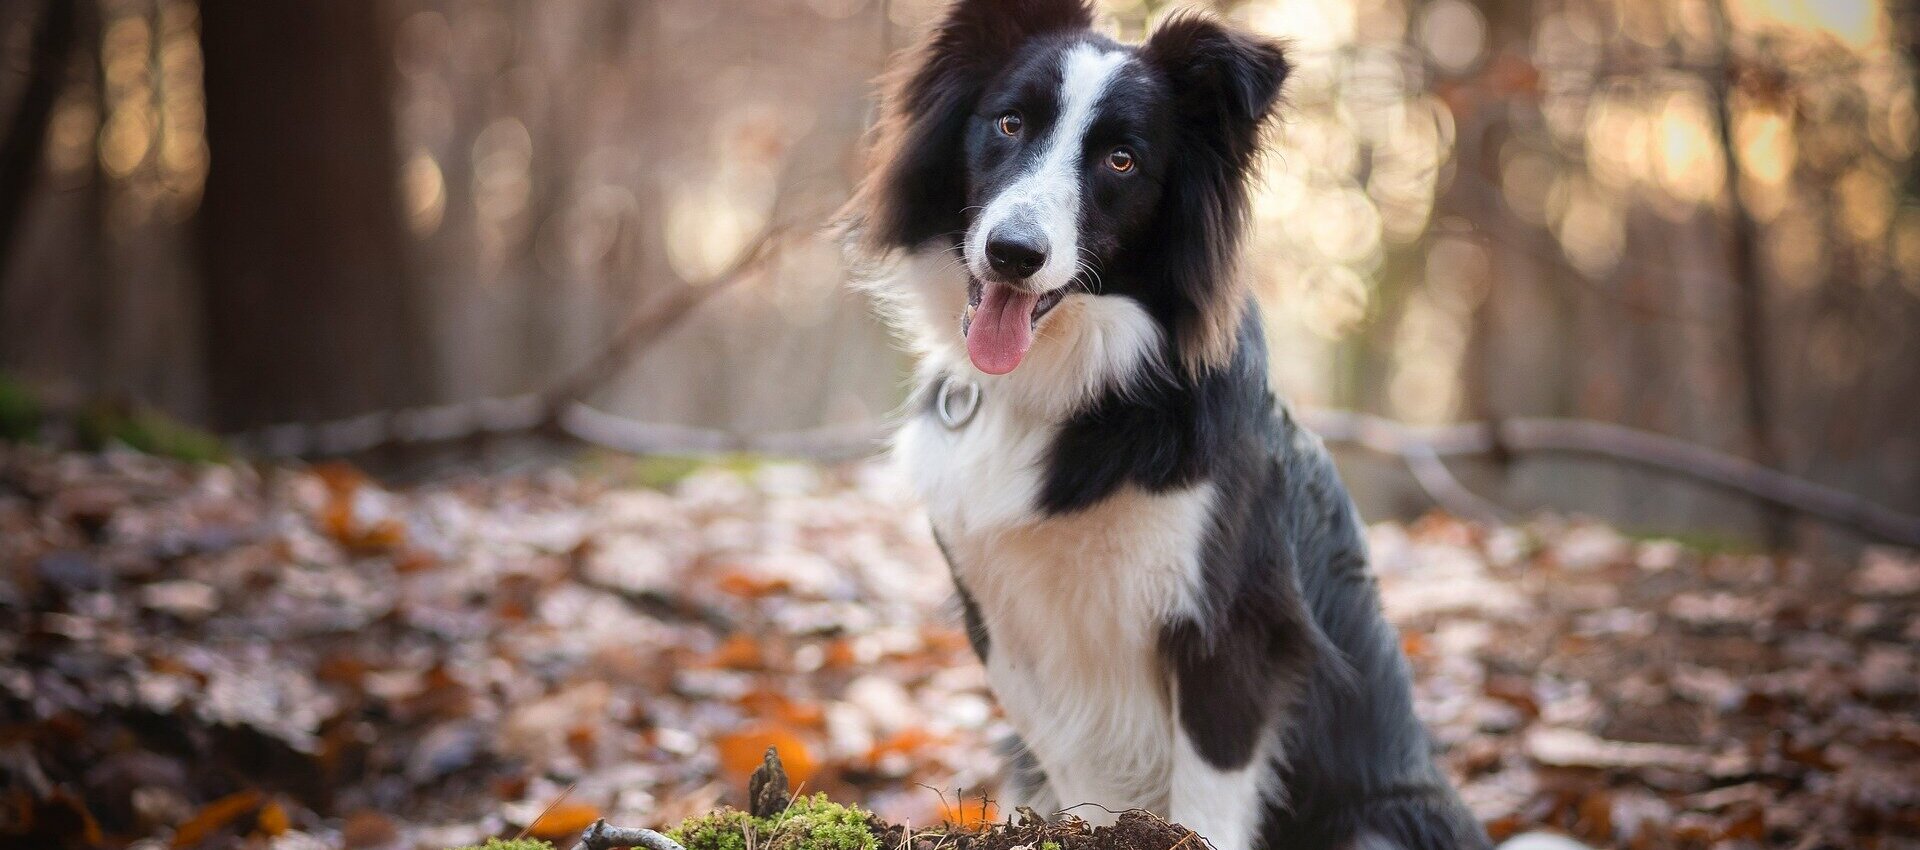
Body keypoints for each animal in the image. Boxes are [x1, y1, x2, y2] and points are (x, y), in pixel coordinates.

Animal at [837, 1, 1482, 850]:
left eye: (1120, 161)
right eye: (1009, 123)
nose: (1012, 254)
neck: (1073, 383)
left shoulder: (1230, 628)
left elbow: (1208, 797)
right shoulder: (1004, 621)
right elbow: (1078, 767)